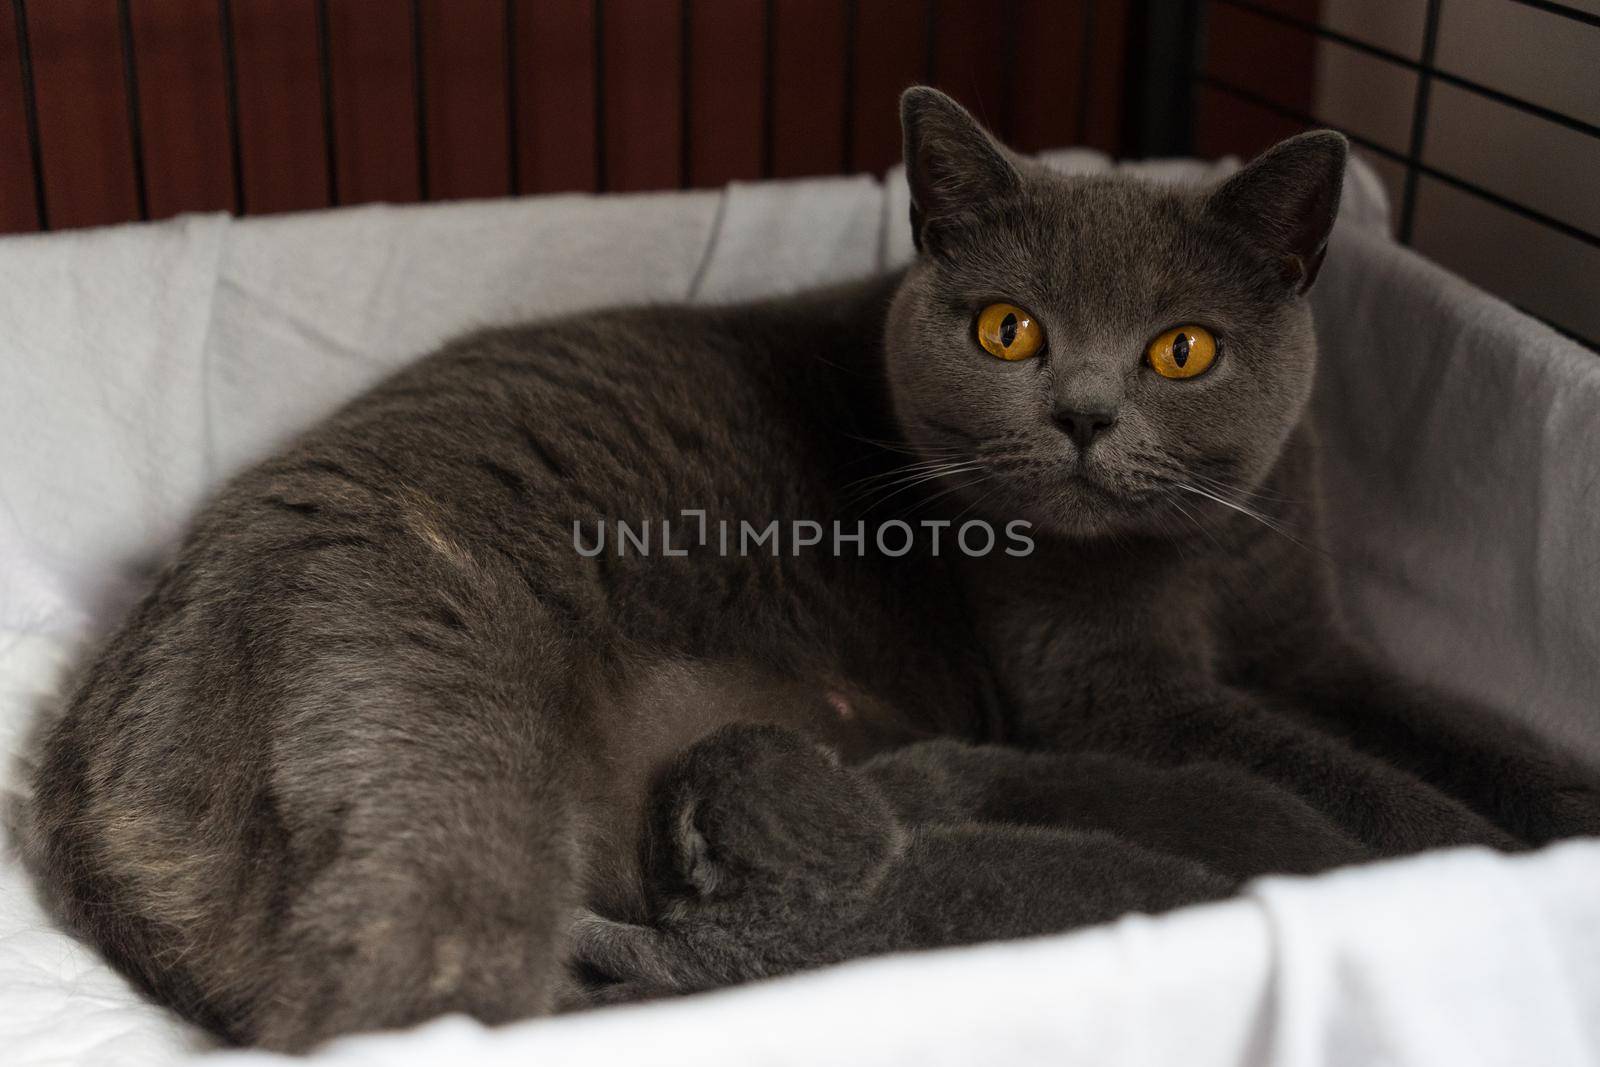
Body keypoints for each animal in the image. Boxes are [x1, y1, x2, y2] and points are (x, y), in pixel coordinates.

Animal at [15, 89, 1600, 1049]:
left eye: (1184, 348)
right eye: (1009, 329)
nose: (1085, 413)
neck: (1196, 556)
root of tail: (82, 763)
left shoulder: (1313, 638)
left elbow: (1445, 726)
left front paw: (1558, 802)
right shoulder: (1103, 691)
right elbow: (1339, 769)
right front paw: (1475, 857)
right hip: (422, 723)